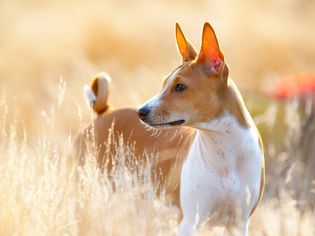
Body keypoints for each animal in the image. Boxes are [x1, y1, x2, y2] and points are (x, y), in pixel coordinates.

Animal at [138, 22, 264, 236]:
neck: (225, 154)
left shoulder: (239, 223)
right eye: (164, 84)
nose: (141, 111)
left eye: (180, 87)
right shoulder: (189, 221)